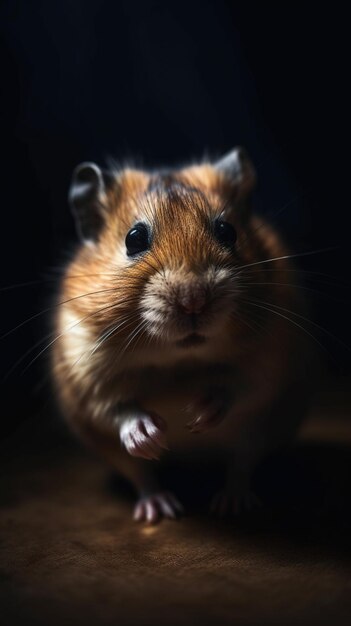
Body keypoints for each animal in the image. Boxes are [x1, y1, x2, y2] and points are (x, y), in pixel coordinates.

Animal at [51, 147, 314, 520]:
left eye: (227, 231)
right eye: (134, 239)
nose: (194, 300)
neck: (178, 359)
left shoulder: (270, 361)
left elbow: (237, 388)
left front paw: (196, 416)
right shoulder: (86, 376)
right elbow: (118, 409)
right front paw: (152, 435)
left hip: (259, 433)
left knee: (241, 464)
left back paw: (231, 504)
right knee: (143, 476)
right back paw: (160, 509)